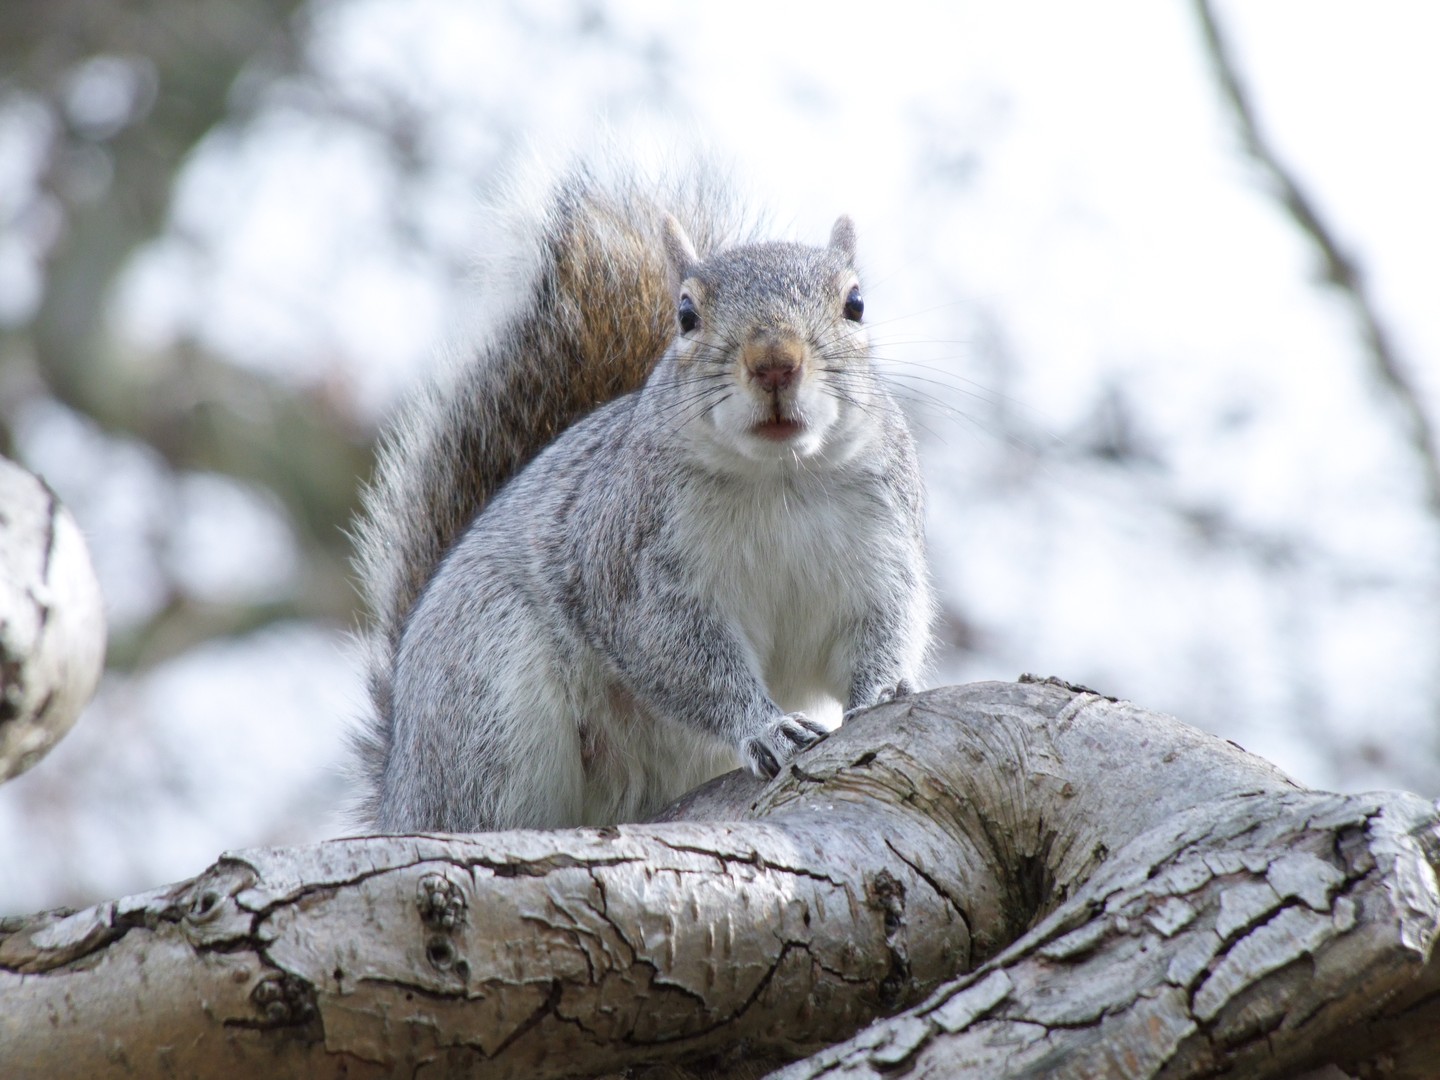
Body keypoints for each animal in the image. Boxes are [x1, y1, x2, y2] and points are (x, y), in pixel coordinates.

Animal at [349, 156, 933, 835]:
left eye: (855, 304)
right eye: (686, 314)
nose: (774, 360)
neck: (779, 477)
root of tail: (397, 791)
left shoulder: (881, 551)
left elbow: (884, 626)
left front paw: (886, 689)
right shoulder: (633, 568)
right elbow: (682, 660)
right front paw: (765, 727)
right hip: (481, 690)